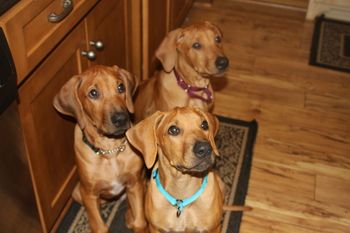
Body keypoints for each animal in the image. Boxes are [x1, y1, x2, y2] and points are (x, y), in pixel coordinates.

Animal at [54, 64, 147, 232]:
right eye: (93, 93)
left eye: (121, 87)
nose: (121, 118)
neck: (110, 151)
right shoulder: (89, 193)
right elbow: (99, 226)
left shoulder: (134, 183)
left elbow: (140, 221)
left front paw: (136, 220)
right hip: (77, 192)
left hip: (140, 181)